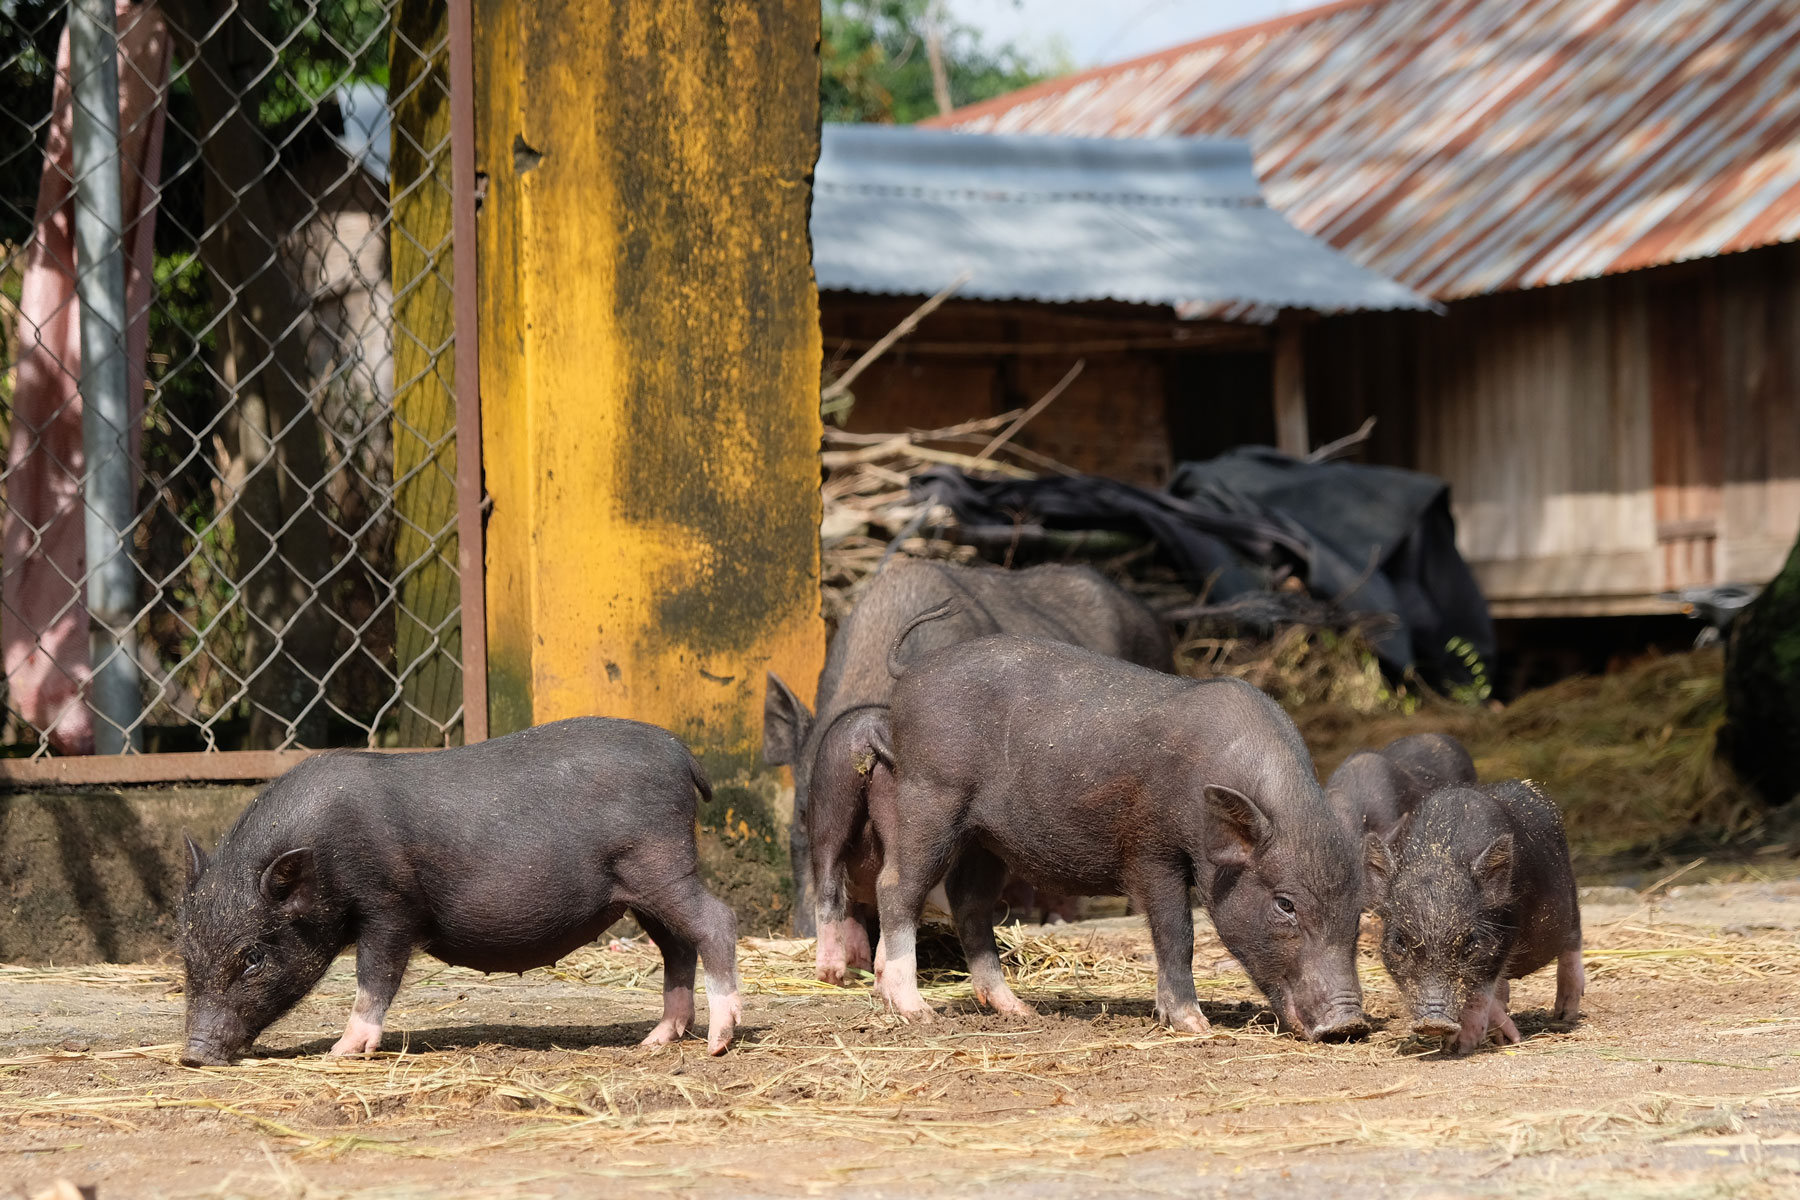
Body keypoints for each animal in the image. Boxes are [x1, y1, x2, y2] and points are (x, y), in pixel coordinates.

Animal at [175, 712, 738, 1057]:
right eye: (185, 951)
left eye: (253, 957)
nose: (193, 1056)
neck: (324, 850)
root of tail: (679, 752)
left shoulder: (390, 904)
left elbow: (375, 975)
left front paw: (342, 1051)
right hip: (638, 891)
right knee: (676, 946)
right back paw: (655, 1040)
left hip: (660, 864)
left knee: (716, 920)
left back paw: (717, 1042)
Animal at [871, 633, 1360, 1036]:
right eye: (1285, 904)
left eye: (1358, 907)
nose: (1349, 1023)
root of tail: (913, 669)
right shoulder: (1151, 848)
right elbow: (1176, 932)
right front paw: (1193, 1025)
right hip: (930, 792)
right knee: (897, 886)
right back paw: (917, 1011)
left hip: (984, 835)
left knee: (970, 903)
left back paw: (1019, 1010)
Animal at [1368, 780, 1584, 1050]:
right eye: (1399, 941)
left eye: (1470, 941)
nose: (1434, 1022)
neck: (1440, 856)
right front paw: (1502, 1037)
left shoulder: (1506, 933)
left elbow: (1480, 990)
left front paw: (1463, 1046)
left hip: (1571, 896)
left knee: (1573, 944)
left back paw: (1564, 1016)